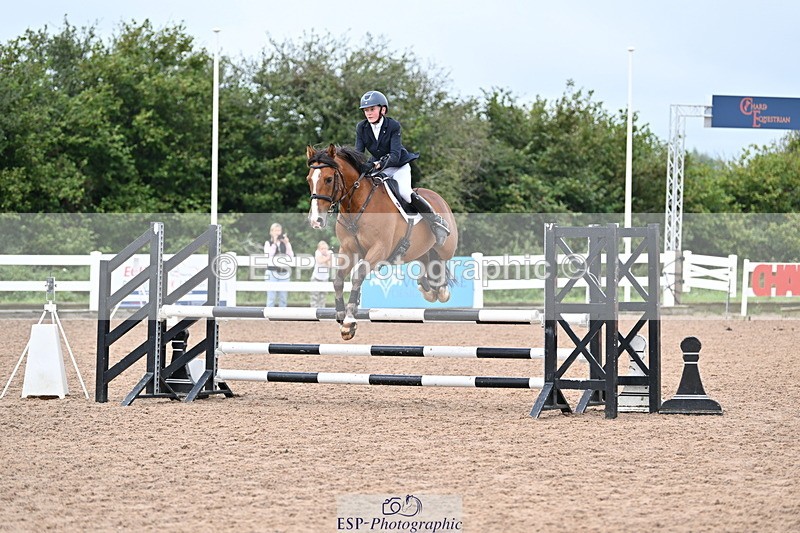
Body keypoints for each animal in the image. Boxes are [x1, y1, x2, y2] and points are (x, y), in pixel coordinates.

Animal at [305, 144, 459, 340]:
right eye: (309, 180)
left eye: (328, 179)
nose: (316, 220)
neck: (357, 206)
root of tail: (438, 197)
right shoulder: (348, 250)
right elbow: (338, 280)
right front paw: (340, 316)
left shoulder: (379, 249)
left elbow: (357, 276)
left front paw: (349, 322)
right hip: (420, 250)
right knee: (428, 262)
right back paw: (428, 288)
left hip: (446, 246)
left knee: (442, 259)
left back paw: (441, 287)